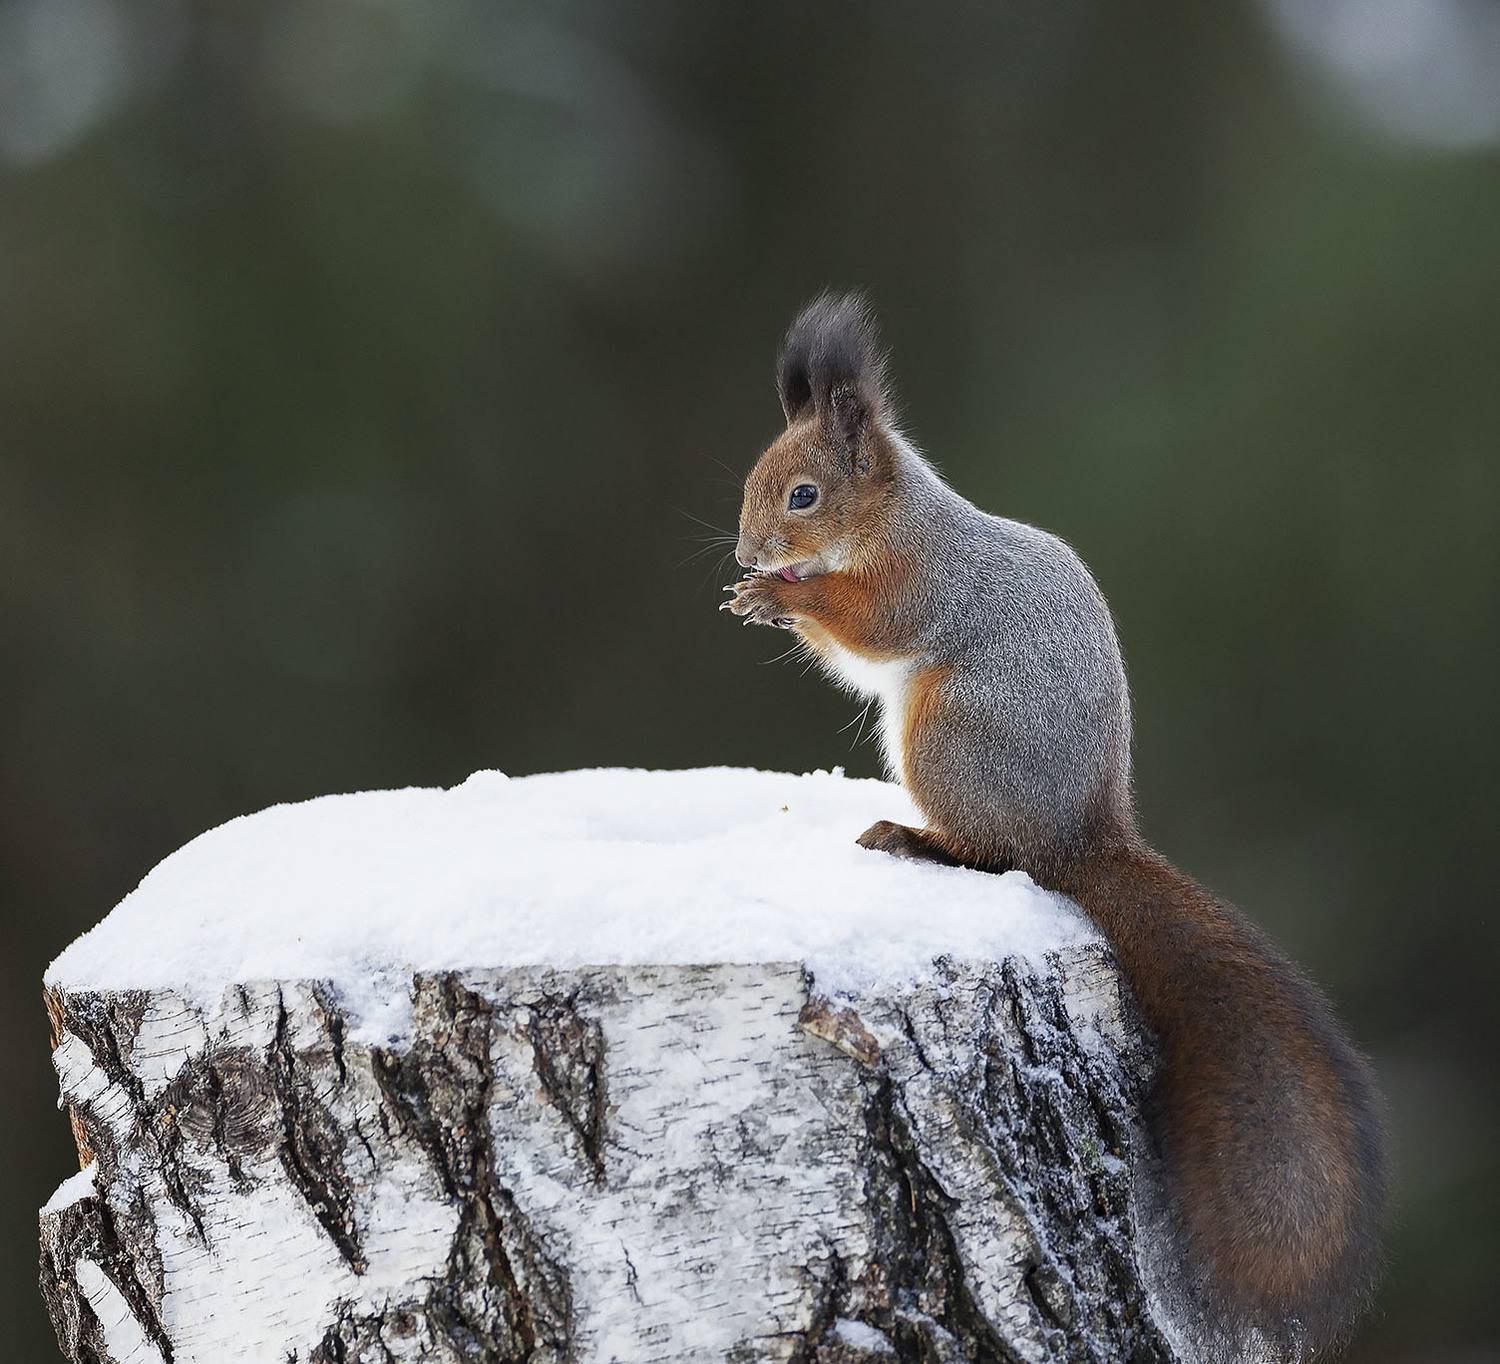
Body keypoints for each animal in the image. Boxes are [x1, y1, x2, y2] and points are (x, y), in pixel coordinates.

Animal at [721, 295, 1386, 1360]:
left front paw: (787, 594)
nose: (747, 557)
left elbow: (871, 625)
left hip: (950, 735)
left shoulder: (920, 584)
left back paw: (916, 838)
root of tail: (1083, 837)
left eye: (805, 496)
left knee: (995, 856)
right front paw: (759, 599)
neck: (900, 520)